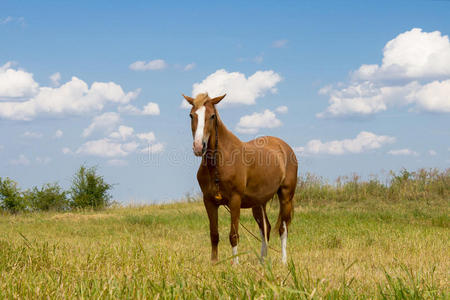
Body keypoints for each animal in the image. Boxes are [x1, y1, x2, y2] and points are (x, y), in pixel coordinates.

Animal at [184, 92, 298, 264]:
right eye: (192, 115)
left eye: (212, 116)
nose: (199, 147)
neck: (219, 164)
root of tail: (284, 147)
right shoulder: (209, 201)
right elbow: (214, 234)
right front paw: (214, 263)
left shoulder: (235, 200)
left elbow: (234, 235)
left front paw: (235, 264)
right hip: (259, 203)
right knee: (266, 228)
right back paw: (262, 261)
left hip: (285, 196)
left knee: (283, 228)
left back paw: (283, 261)